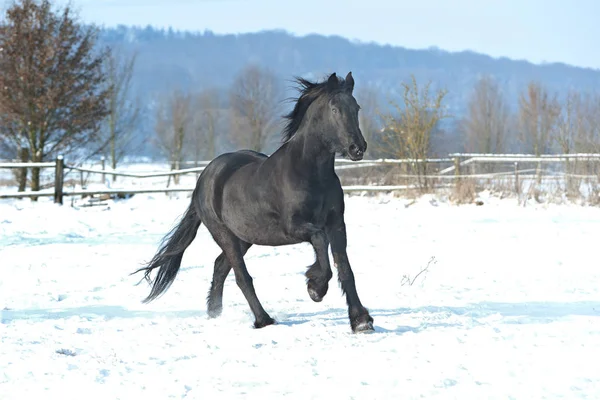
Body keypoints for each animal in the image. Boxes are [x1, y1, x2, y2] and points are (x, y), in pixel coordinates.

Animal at [134, 71, 372, 332]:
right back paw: (263, 319)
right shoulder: (294, 227)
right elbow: (320, 242)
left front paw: (361, 320)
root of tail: (204, 178)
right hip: (224, 234)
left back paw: (215, 313)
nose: (357, 148)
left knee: (220, 266)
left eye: (356, 107)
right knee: (240, 275)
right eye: (334, 109)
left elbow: (345, 268)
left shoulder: (336, 224)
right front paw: (315, 288)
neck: (310, 172)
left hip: (244, 237)